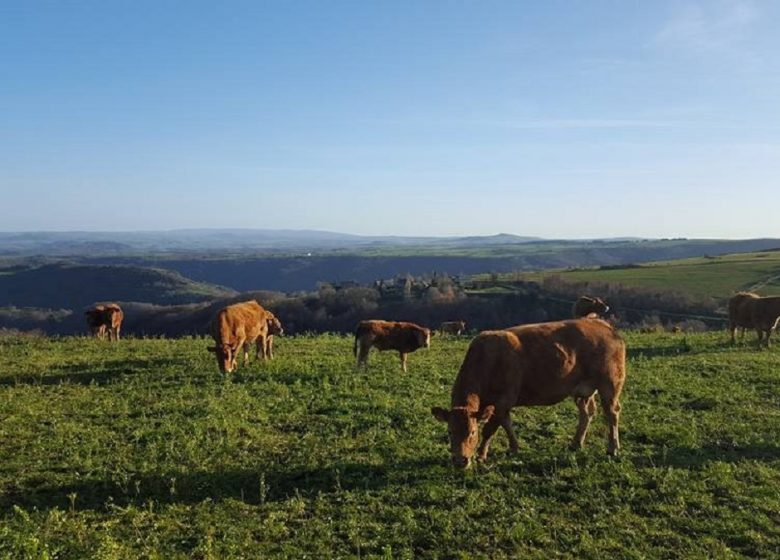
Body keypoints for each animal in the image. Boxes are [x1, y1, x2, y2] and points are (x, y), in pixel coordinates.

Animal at [430, 320, 624, 468]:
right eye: (449, 432)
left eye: (472, 432)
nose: (460, 461)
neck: (486, 361)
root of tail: (601, 323)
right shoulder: (501, 406)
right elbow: (507, 424)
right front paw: (514, 448)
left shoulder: (502, 401)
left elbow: (489, 430)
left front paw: (482, 454)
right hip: (583, 390)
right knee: (587, 413)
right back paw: (576, 443)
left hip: (610, 384)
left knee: (612, 413)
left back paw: (612, 448)